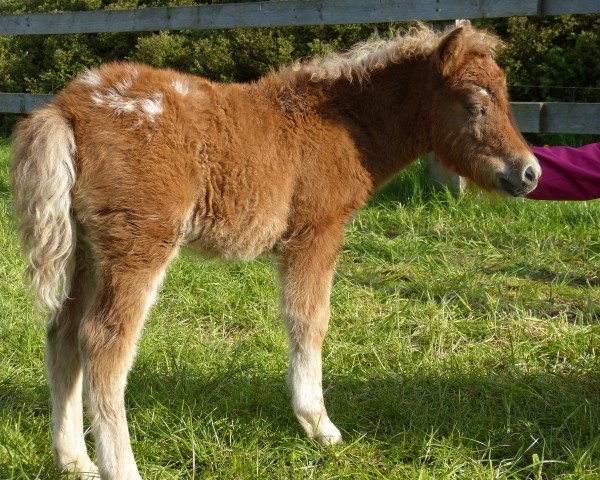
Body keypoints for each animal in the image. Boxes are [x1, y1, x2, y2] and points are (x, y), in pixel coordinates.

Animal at [12, 23, 540, 480]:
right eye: (473, 105)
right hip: (137, 244)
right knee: (103, 344)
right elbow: (310, 319)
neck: (343, 123)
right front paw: (318, 424)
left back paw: (74, 461)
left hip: (86, 250)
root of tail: (67, 108)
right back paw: (121, 468)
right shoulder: (315, 232)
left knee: (62, 333)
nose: (530, 172)